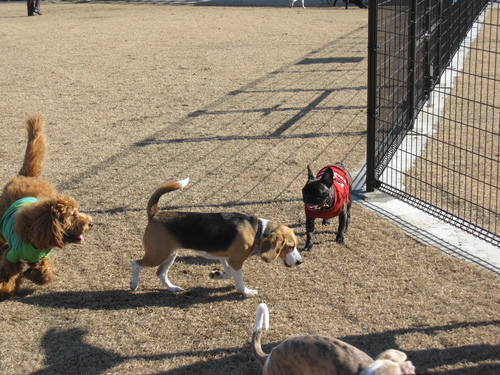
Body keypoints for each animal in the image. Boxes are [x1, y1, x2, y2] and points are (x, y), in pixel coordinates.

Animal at [130, 179, 300, 296]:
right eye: (290, 247)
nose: (300, 262)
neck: (256, 229)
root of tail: (155, 213)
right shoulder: (235, 260)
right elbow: (239, 280)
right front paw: (246, 291)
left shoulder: (225, 258)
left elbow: (230, 273)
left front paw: (218, 275)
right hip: (157, 255)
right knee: (136, 264)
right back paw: (133, 284)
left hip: (170, 254)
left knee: (161, 273)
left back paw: (172, 288)